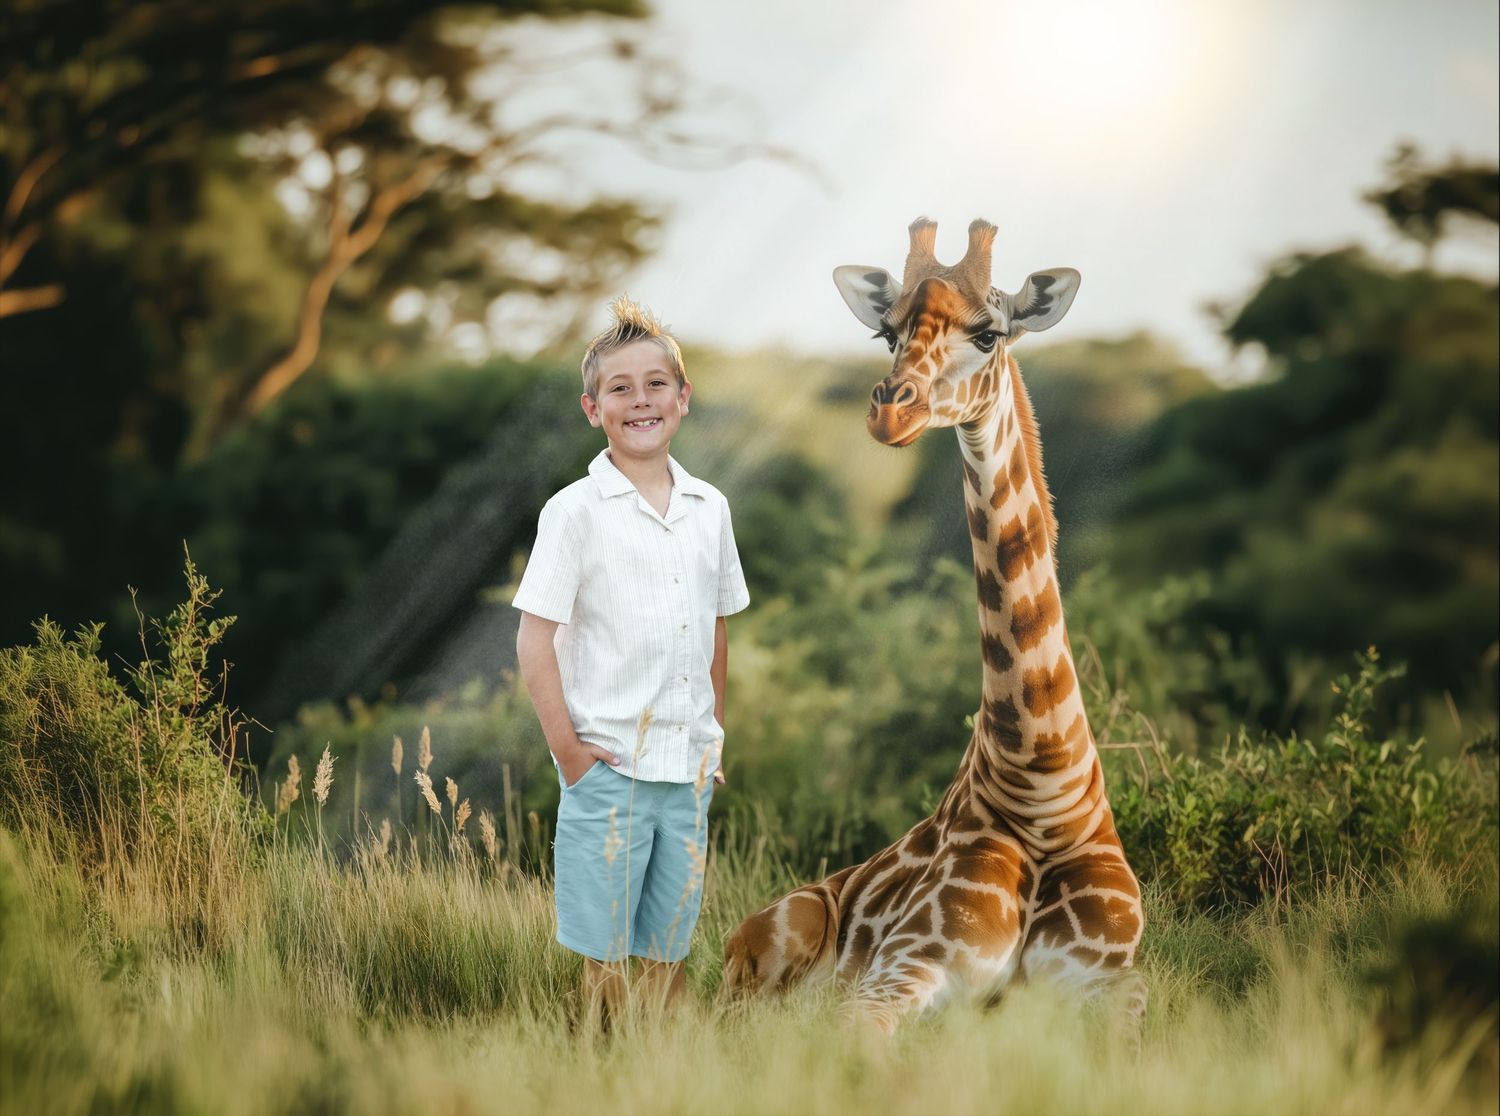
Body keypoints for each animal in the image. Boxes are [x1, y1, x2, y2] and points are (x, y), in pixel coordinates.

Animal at [722, 218, 1145, 1033]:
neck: (1043, 785)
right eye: (887, 333)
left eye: (988, 332)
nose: (891, 409)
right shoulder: (904, 966)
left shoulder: (1118, 980)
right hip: (769, 949)